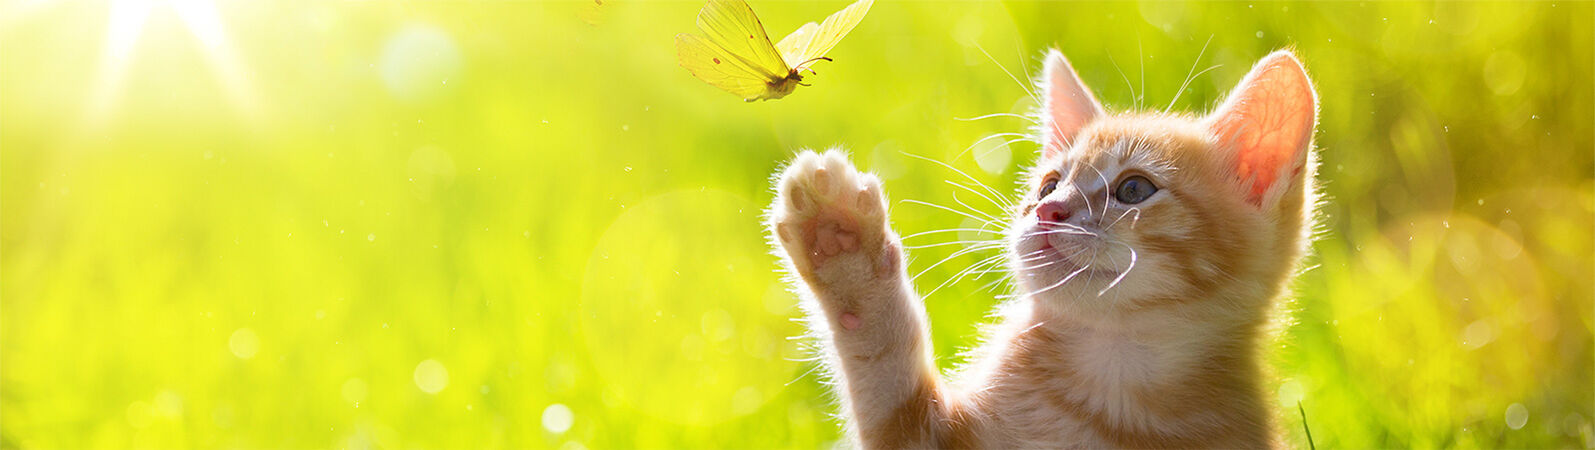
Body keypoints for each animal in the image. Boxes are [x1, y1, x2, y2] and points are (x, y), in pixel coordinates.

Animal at [765, 47, 1314, 446]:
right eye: (1049, 185)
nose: (1049, 211)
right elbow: (883, 361)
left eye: (1134, 189)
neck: (1112, 382)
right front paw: (840, 243)